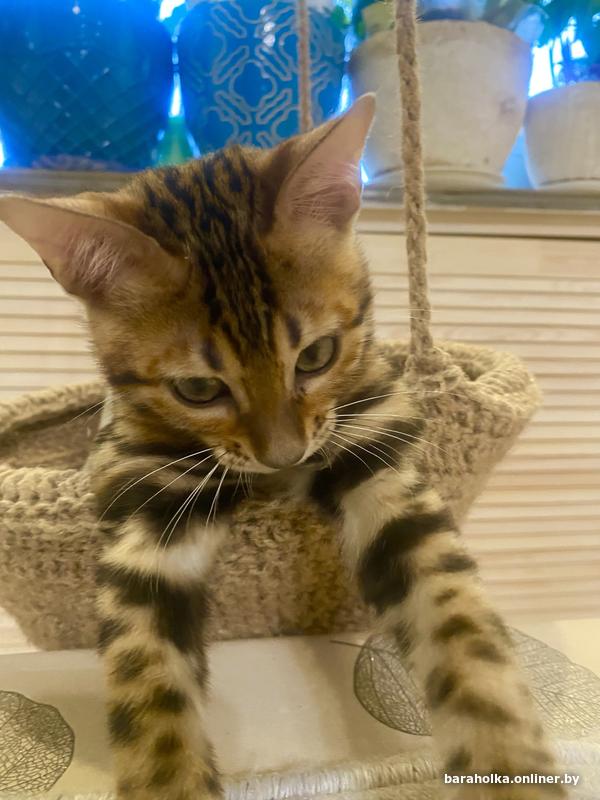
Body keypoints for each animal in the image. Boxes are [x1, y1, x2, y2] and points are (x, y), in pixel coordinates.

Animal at [0, 96, 566, 800]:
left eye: (318, 355)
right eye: (197, 389)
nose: (283, 457)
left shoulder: (376, 452)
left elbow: (460, 624)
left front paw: (508, 759)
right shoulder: (148, 504)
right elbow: (147, 685)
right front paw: (168, 780)